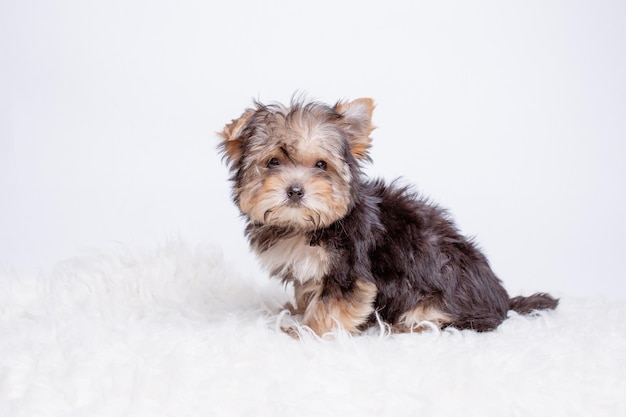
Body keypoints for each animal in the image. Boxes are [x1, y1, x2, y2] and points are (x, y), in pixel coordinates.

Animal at [216, 96, 556, 334]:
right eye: (273, 162)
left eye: (321, 165)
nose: (295, 190)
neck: (304, 226)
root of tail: (503, 302)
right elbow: (309, 292)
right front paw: (295, 312)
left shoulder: (350, 270)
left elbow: (332, 304)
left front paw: (310, 332)